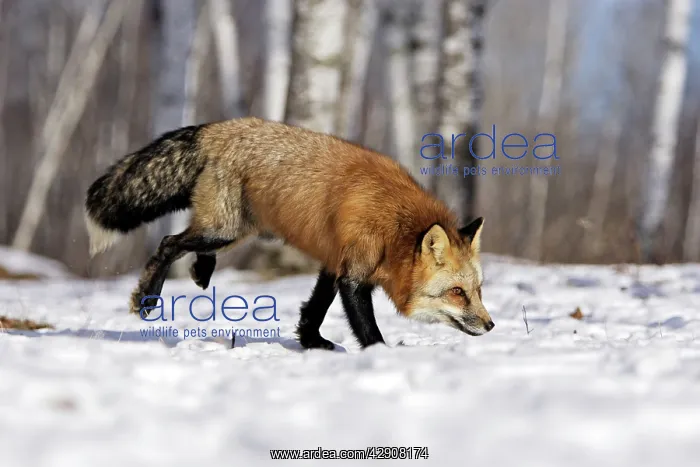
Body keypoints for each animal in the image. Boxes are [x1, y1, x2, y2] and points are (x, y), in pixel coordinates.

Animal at [84, 117, 494, 349]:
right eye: (457, 293)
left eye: (478, 290)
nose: (491, 325)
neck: (393, 227)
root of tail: (221, 127)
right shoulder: (353, 274)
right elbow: (365, 326)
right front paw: (380, 356)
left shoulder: (335, 261)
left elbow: (314, 309)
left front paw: (312, 342)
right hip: (224, 229)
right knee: (169, 243)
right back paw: (147, 297)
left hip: (234, 230)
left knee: (190, 244)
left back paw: (201, 270)